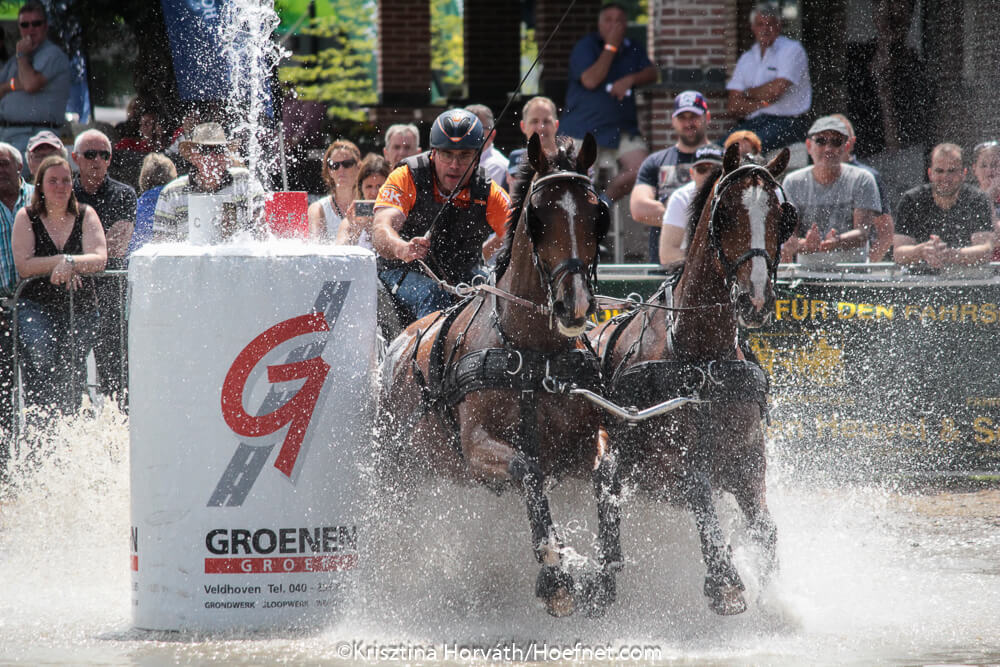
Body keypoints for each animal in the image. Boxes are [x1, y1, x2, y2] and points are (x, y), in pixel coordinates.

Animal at [376, 133, 612, 620]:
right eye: (538, 218)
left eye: (597, 214)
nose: (575, 306)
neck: (533, 354)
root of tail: (397, 346)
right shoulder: (476, 447)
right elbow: (528, 471)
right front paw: (555, 575)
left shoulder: (582, 443)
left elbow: (605, 473)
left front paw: (603, 573)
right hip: (399, 474)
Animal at [592, 144, 796, 620]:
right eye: (725, 214)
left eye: (783, 216)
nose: (756, 300)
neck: (702, 361)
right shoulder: (670, 465)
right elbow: (702, 498)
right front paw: (725, 584)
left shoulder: (748, 460)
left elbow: (765, 529)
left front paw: (775, 600)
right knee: (606, 490)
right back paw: (602, 581)